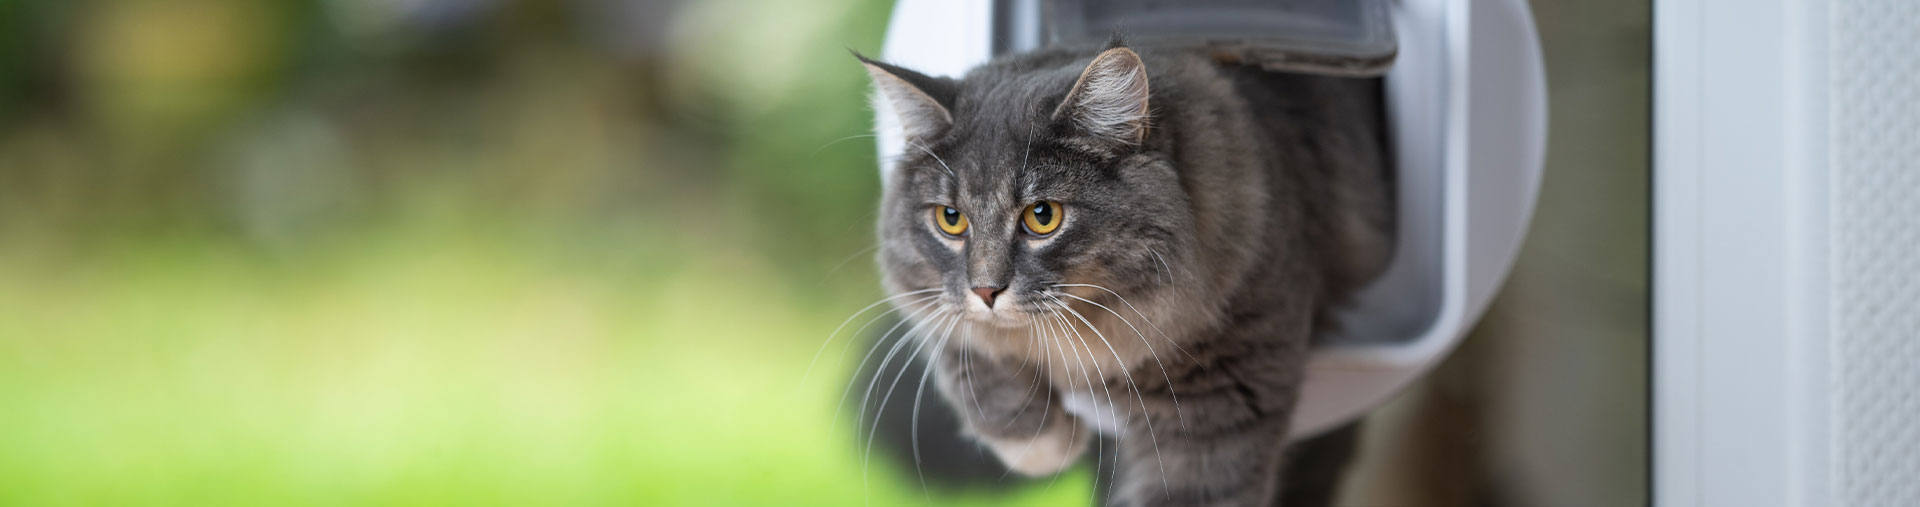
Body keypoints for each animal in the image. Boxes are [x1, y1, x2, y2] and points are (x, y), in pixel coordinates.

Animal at [864, 38, 1390, 507]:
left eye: (1043, 216)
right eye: (951, 219)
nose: (986, 290)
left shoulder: (1217, 415)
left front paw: (1052, 445)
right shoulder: (937, 310)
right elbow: (970, 358)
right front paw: (1046, 445)